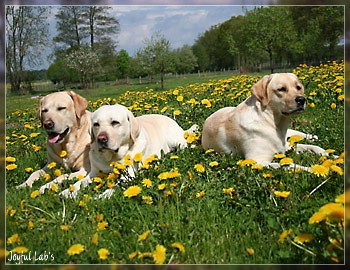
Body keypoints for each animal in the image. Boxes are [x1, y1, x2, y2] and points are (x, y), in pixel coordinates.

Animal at [58, 104, 198, 199]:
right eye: (96, 124)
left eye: (115, 122)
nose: (101, 139)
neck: (112, 158)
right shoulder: (94, 173)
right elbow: (79, 183)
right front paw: (67, 192)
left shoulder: (129, 174)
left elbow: (116, 186)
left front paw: (102, 195)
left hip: (175, 140)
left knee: (187, 144)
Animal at [202, 73, 330, 170]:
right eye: (281, 89)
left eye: (298, 87)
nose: (301, 100)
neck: (271, 122)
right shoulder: (258, 161)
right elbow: (289, 165)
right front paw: (312, 169)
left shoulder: (285, 145)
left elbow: (311, 146)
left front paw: (328, 154)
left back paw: (312, 136)